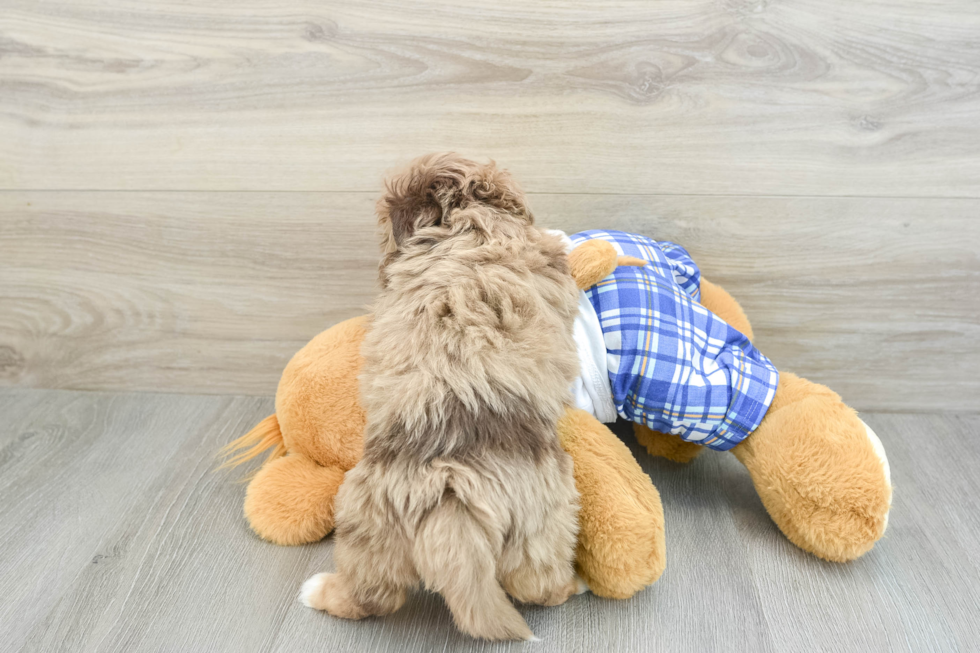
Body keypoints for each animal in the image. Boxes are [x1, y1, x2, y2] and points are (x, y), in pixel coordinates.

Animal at [298, 154, 584, 640]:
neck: (461, 221)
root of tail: (453, 494)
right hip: (545, 527)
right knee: (537, 586)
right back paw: (573, 585)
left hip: (365, 527)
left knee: (370, 597)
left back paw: (319, 592)